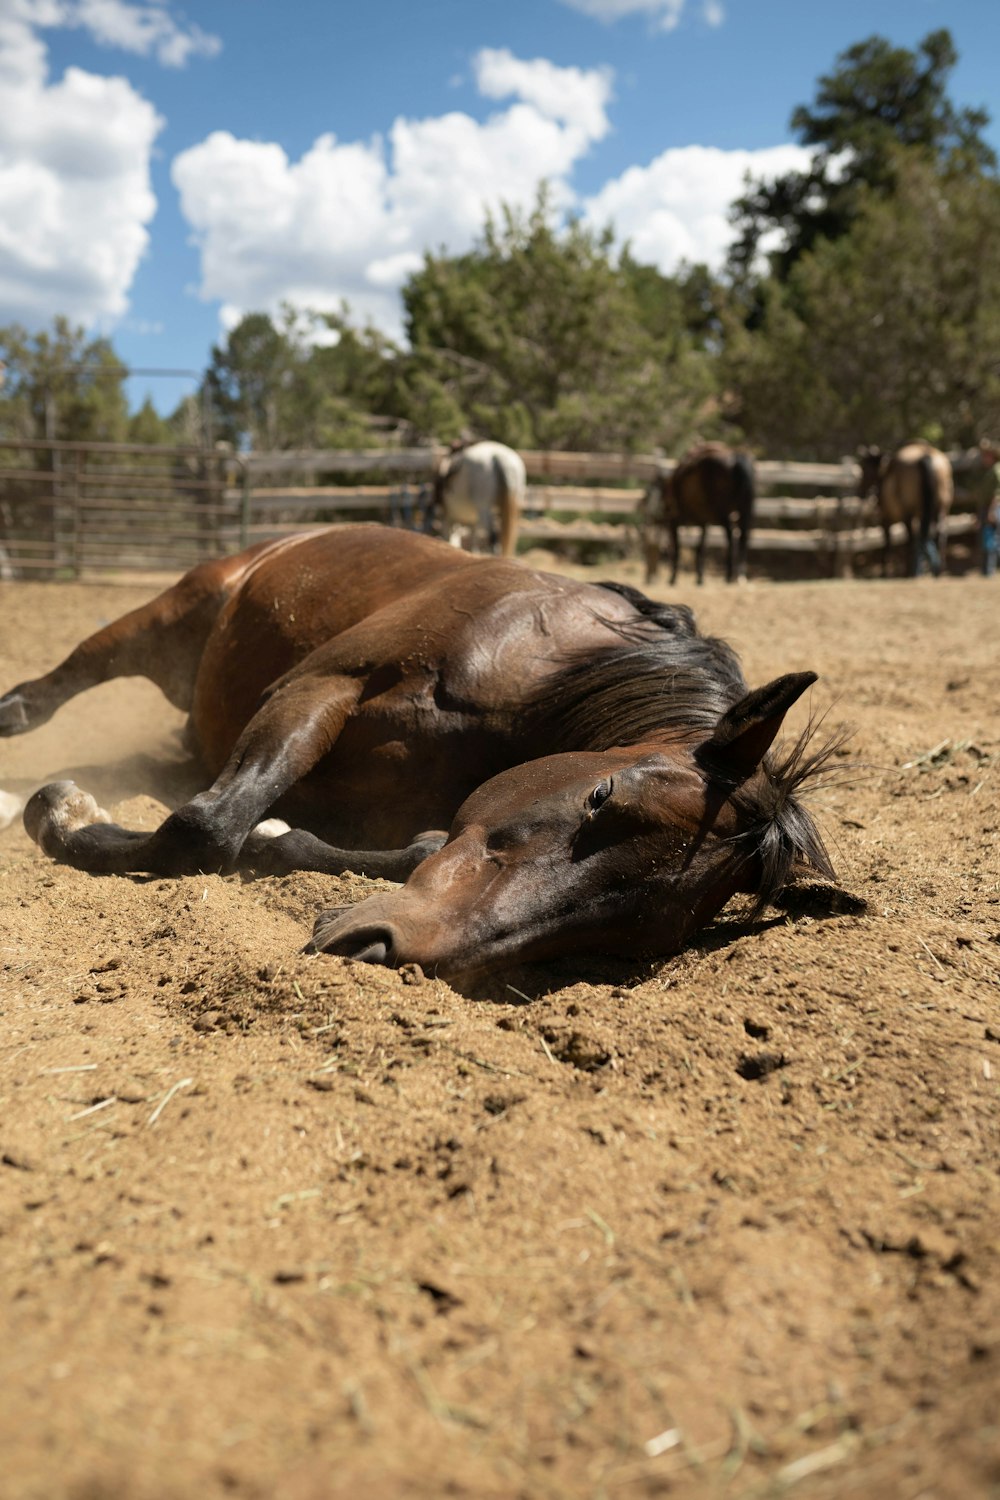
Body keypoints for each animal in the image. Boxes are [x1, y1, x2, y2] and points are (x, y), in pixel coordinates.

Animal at [0, 525, 839, 984]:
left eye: (634, 932)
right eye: (601, 796)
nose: (386, 948)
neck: (543, 669)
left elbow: (350, 843)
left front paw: (277, 840)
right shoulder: (322, 685)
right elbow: (200, 830)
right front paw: (63, 816)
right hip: (173, 611)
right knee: (72, 675)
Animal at [644, 438, 755, 585]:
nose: (649, 519)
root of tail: (736, 457)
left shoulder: (675, 521)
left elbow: (678, 548)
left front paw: (673, 578)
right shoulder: (704, 523)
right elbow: (700, 548)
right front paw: (700, 577)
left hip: (723, 514)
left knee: (731, 537)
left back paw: (729, 575)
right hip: (745, 510)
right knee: (744, 536)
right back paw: (740, 574)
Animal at [857, 441, 959, 576]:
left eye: (863, 467)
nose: (860, 491)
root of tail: (925, 456)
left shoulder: (886, 519)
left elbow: (887, 544)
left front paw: (884, 572)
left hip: (907, 513)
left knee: (911, 540)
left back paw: (910, 571)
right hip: (941, 509)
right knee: (939, 535)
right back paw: (937, 569)